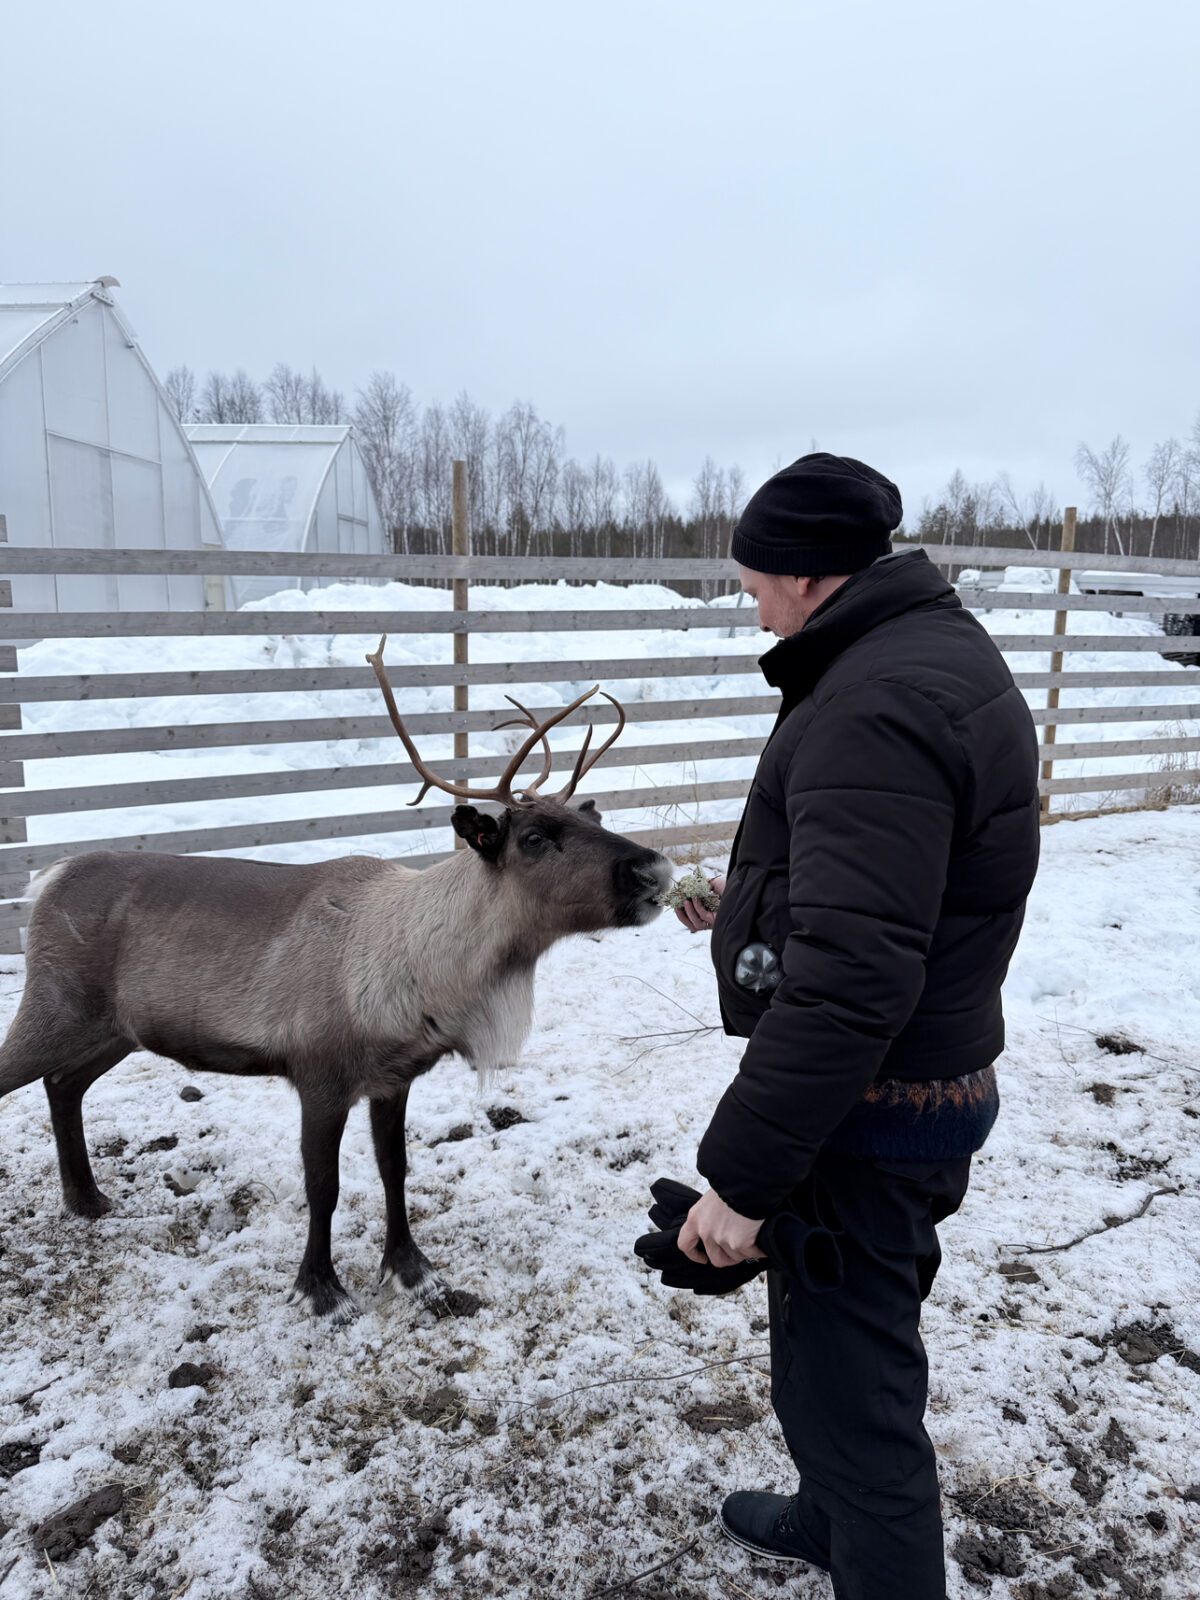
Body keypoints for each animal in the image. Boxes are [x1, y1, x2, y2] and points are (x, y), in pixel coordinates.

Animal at [0, 639, 672, 1320]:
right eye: (534, 837)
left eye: (596, 820)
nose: (655, 869)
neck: (425, 973)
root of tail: (46, 880)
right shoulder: (318, 1076)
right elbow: (323, 1185)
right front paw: (320, 1287)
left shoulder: (394, 1078)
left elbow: (394, 1169)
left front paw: (408, 1267)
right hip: (54, 1007)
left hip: (113, 1029)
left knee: (63, 1084)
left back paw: (87, 1200)